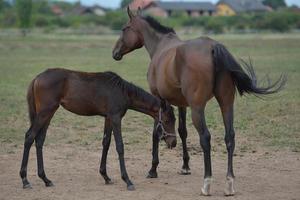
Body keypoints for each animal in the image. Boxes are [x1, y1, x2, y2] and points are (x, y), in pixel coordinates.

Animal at [112, 7, 286, 195]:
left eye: (124, 28)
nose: (115, 53)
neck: (161, 47)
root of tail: (213, 47)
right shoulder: (181, 104)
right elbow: (182, 131)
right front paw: (185, 166)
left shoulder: (159, 100)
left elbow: (156, 132)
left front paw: (153, 169)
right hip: (226, 104)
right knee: (229, 137)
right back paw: (229, 183)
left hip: (198, 109)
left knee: (205, 138)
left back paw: (206, 183)